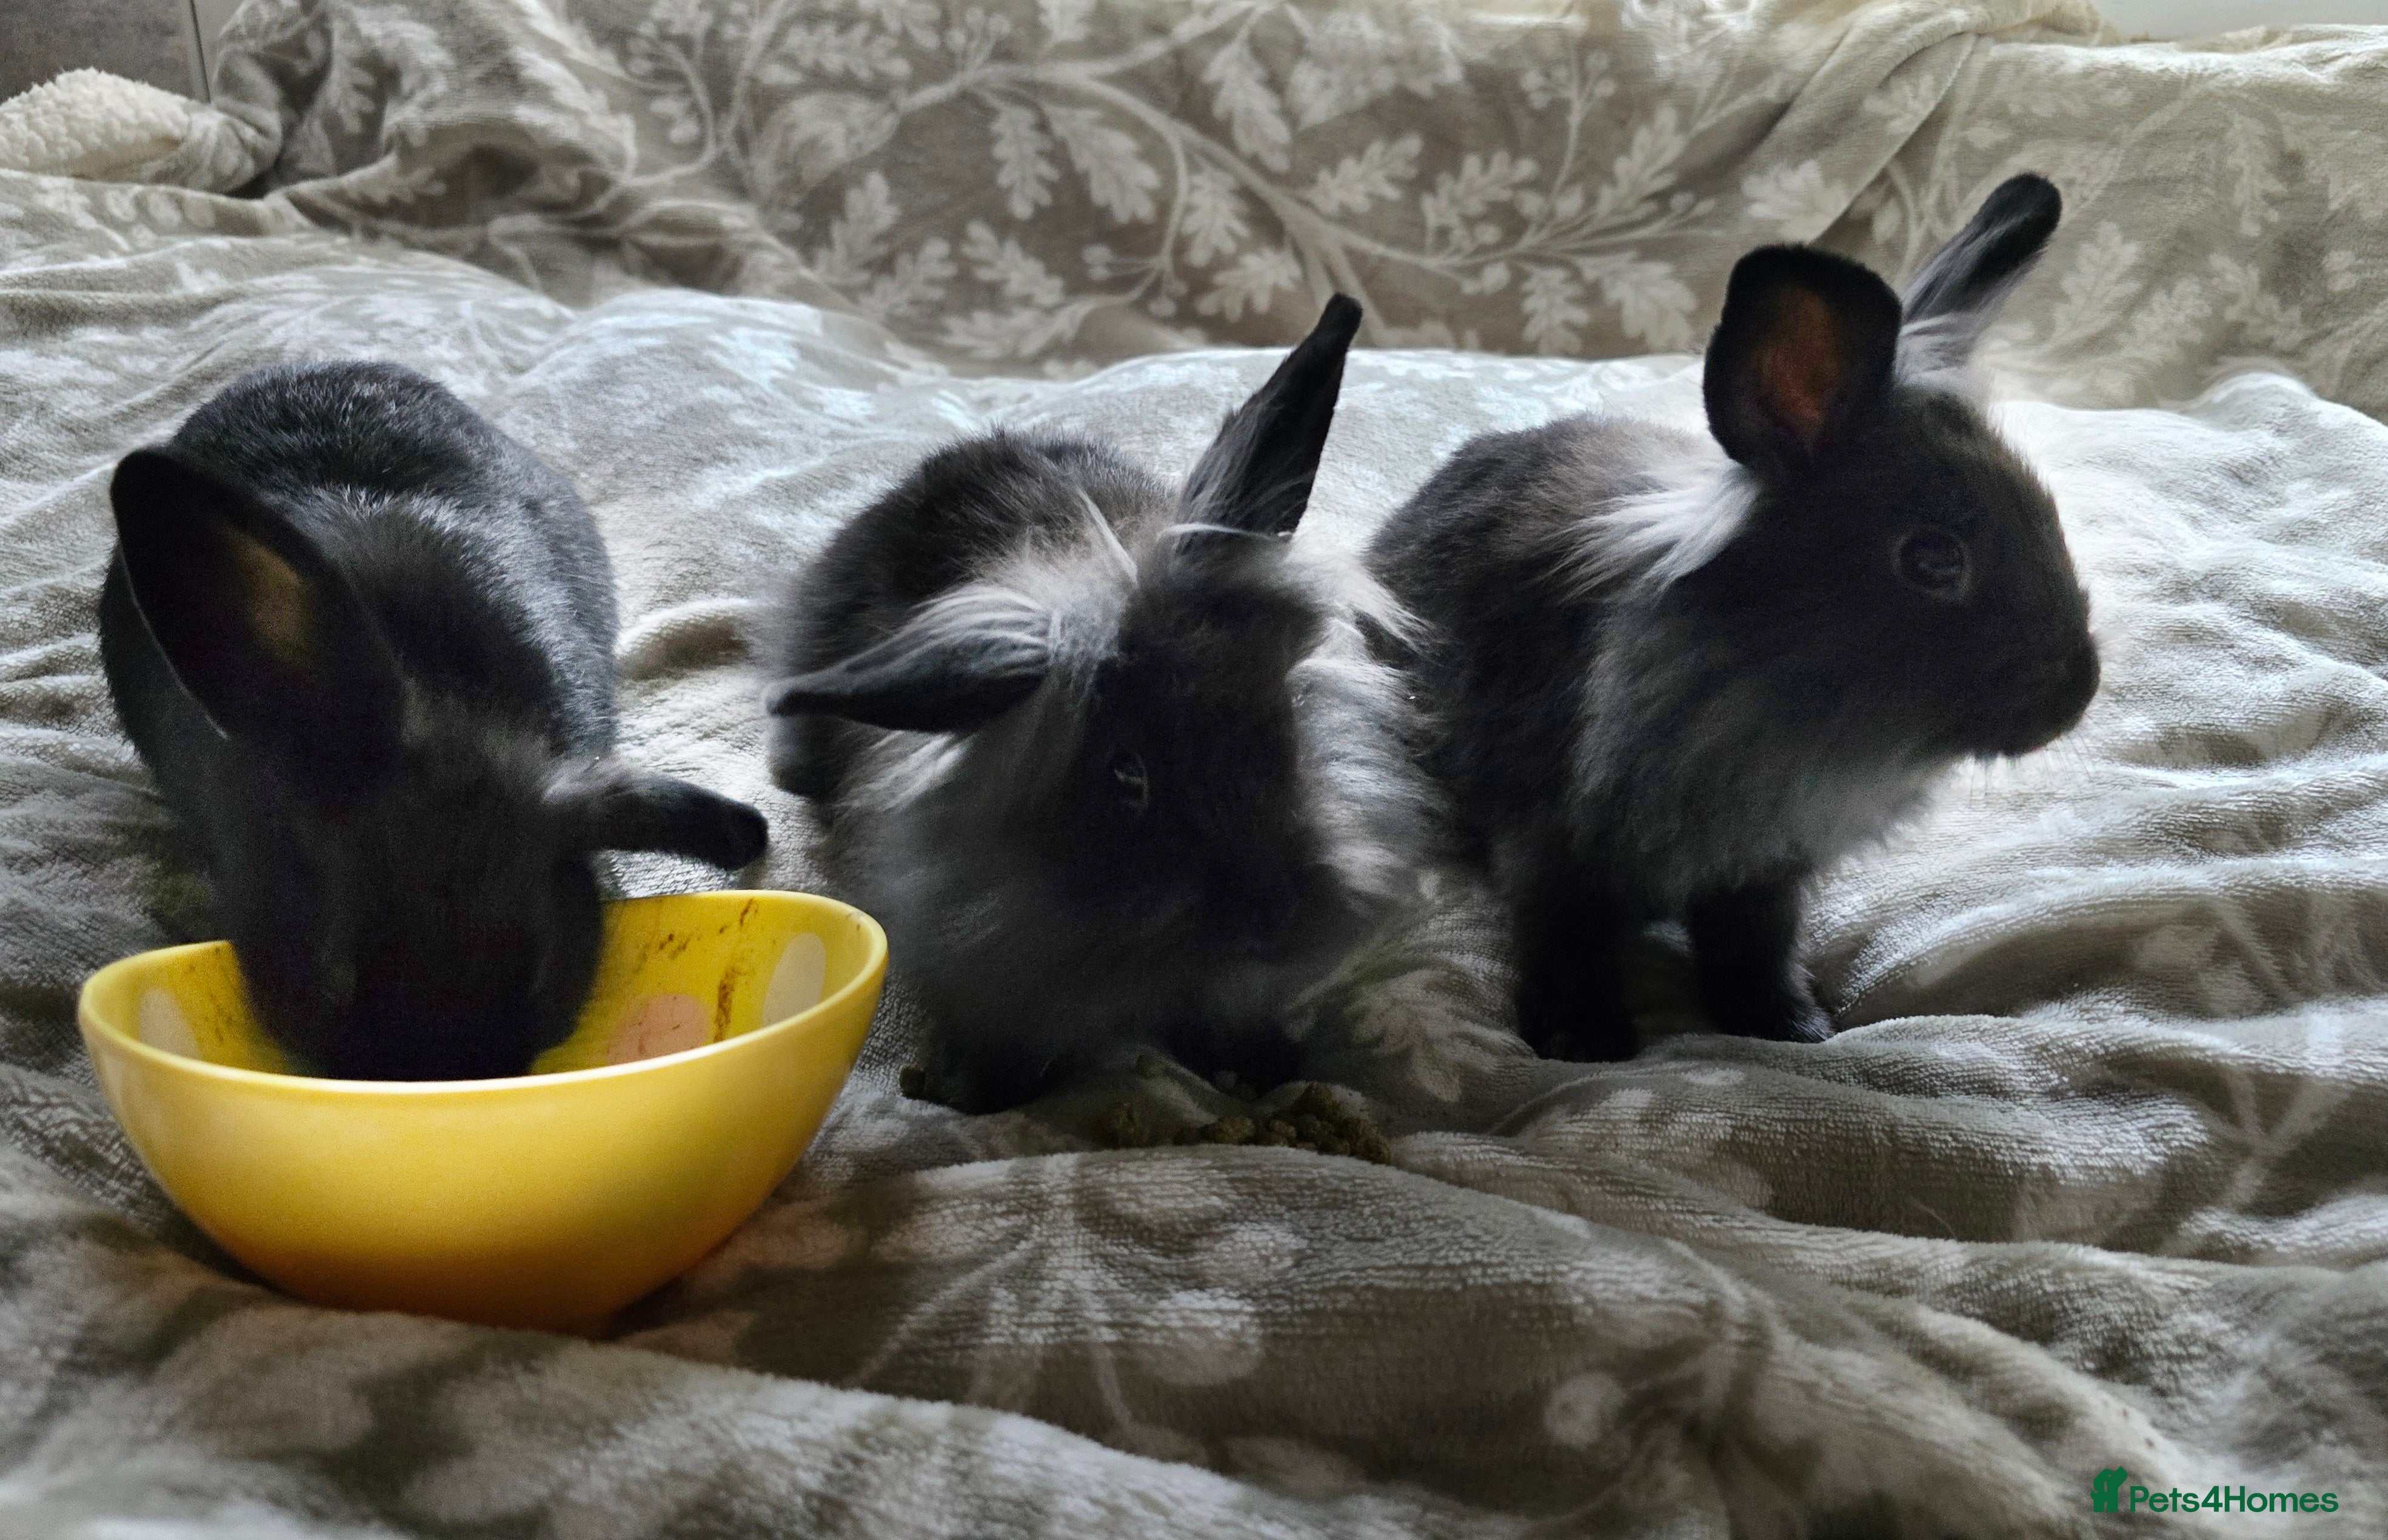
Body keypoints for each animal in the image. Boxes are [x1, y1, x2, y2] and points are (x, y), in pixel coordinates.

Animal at [1367, 173, 2100, 1062]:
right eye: (1932, 560)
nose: (2076, 694)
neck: (1769, 699)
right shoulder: (1550, 850)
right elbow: (1564, 941)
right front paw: (1585, 1042)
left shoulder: (1761, 873)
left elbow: (1754, 947)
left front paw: (1789, 1026)